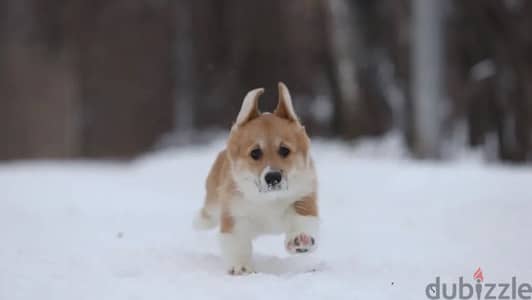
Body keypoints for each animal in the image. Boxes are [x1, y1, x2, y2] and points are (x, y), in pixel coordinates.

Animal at [195, 83, 318, 276]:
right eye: (255, 153)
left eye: (284, 150)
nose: (273, 177)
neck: (269, 200)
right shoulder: (234, 215)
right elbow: (237, 244)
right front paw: (241, 267)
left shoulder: (304, 198)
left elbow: (303, 221)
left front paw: (301, 240)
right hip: (213, 199)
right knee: (209, 212)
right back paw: (200, 221)